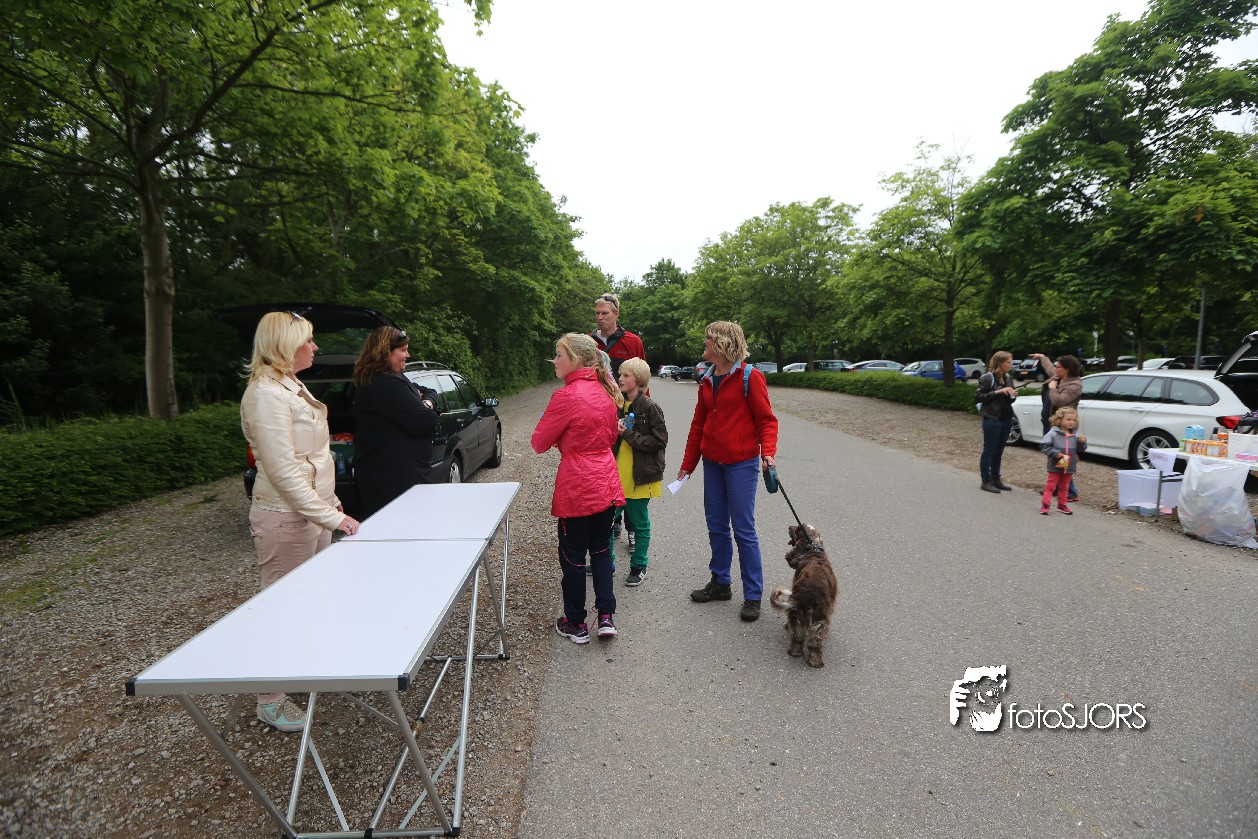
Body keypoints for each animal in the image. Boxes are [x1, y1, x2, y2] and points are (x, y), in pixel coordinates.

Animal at [768, 523, 838, 668]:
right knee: (812, 642)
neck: (813, 550)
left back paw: (796, 653)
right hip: (819, 619)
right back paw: (814, 661)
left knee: (799, 637)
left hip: (801, 614)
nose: (789, 526)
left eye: (798, 529)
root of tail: (808, 594)